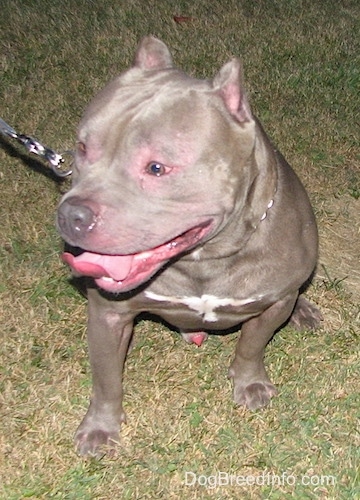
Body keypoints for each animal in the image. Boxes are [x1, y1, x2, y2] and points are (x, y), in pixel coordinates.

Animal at [57, 35, 322, 458]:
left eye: (156, 168)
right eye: (83, 147)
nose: (71, 215)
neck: (205, 258)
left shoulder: (273, 304)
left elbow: (252, 345)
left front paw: (249, 382)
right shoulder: (108, 316)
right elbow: (106, 379)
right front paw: (100, 427)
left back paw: (305, 310)